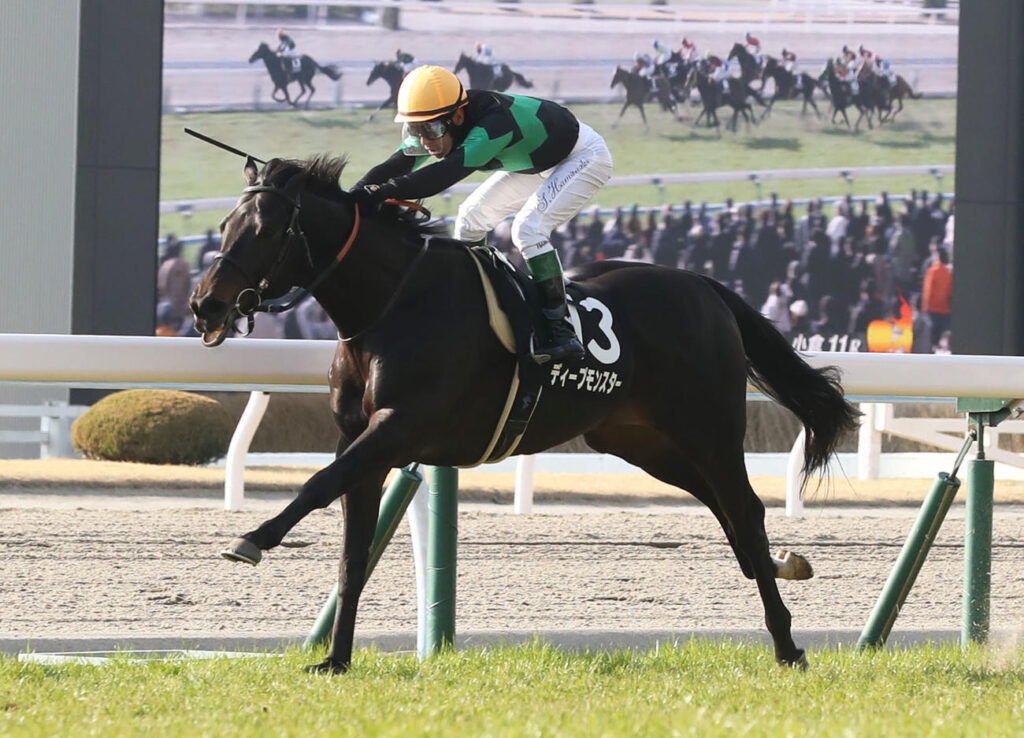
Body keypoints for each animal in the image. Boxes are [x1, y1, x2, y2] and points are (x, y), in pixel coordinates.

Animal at [190, 154, 859, 675]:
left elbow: (317, 483)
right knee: (732, 513)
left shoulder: (399, 426)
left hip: (708, 427)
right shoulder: (361, 440)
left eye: (266, 230)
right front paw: (335, 659)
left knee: (742, 509)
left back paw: (787, 644)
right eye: (224, 225)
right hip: (638, 440)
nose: (205, 306)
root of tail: (705, 286)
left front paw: (251, 539)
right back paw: (780, 569)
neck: (391, 303)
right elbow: (352, 553)